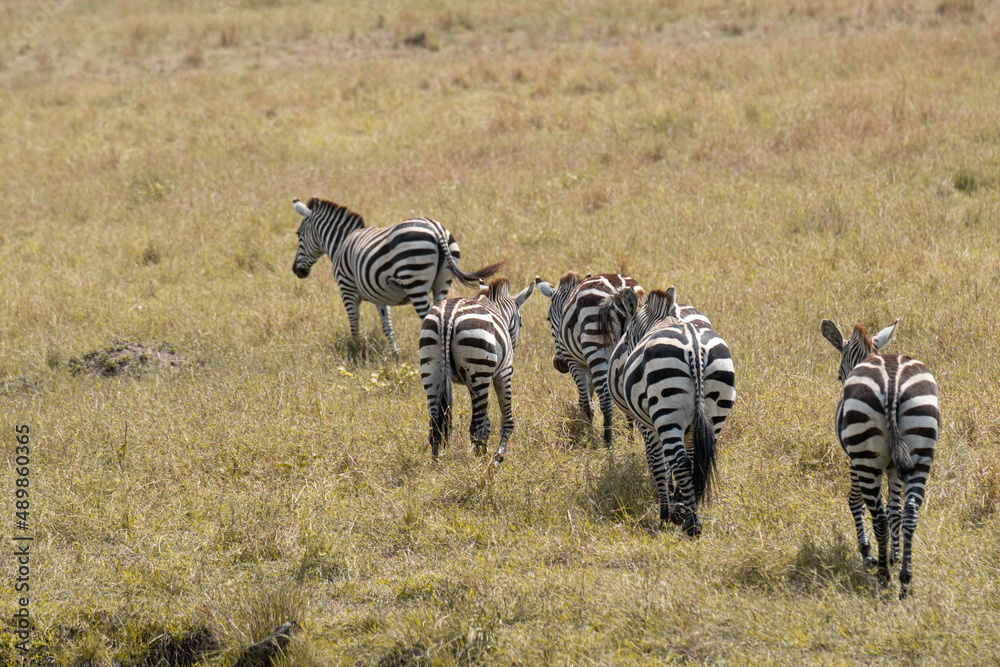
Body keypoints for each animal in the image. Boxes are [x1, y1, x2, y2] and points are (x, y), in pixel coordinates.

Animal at [291, 197, 503, 352]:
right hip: (443, 281)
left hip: (415, 280)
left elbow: (354, 324)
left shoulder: (347, 290)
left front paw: (357, 350)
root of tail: (436, 230)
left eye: (298, 234)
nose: (296, 271)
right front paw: (395, 354)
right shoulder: (378, 295)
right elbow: (387, 326)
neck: (341, 243)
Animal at [420, 278, 535, 464]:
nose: (513, 347)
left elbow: (487, 422)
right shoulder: (503, 373)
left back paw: (436, 466)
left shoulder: (469, 379)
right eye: (521, 322)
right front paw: (497, 457)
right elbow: (506, 421)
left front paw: (485, 453)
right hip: (479, 369)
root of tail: (448, 315)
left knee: (435, 426)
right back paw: (479, 466)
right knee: (475, 428)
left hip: (431, 368)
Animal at [536, 272, 710, 448]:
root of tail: (617, 291)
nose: (559, 363)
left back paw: (608, 444)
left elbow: (586, 401)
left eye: (548, 318)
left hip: (596, 348)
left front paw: (589, 435)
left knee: (606, 399)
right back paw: (630, 439)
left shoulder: (575, 360)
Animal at [598, 286, 735, 536]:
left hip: (665, 413)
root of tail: (695, 348)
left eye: (627, 337)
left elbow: (658, 463)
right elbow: (687, 459)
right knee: (694, 460)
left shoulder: (647, 425)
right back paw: (688, 512)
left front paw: (665, 512)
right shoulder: (690, 429)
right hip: (717, 409)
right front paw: (679, 501)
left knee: (681, 462)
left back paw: (692, 525)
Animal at [821, 319, 939, 599]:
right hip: (921, 449)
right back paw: (905, 581)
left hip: (865, 457)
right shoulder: (895, 467)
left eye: (839, 375)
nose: (841, 384)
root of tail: (892, 381)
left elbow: (855, 502)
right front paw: (895, 556)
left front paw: (869, 554)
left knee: (879, 517)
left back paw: (884, 576)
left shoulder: (854, 461)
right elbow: (895, 510)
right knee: (910, 512)